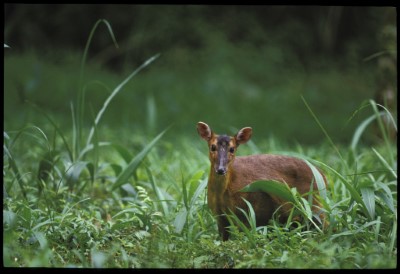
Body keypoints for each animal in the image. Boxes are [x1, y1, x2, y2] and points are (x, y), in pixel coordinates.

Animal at [198, 122, 328, 240]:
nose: (221, 169)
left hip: (315, 202)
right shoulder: (220, 216)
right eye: (212, 147)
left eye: (232, 149)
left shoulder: (253, 211)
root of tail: (323, 175)